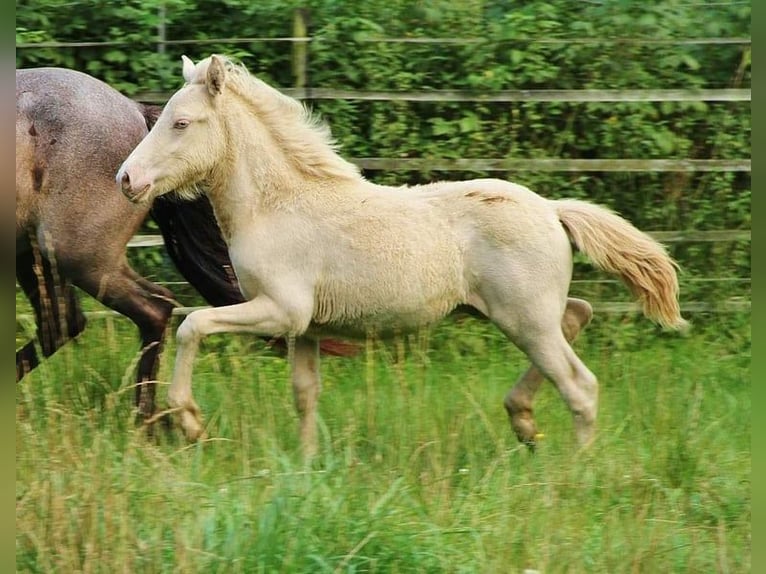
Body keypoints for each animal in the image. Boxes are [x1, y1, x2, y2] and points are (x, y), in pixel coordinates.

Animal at [15, 67, 356, 426]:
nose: (129, 178)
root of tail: (134, 109)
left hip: (78, 255)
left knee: (151, 308)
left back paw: (146, 423)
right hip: (38, 255)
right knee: (62, 323)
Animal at [120, 55, 688, 460]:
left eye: (181, 123)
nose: (127, 179)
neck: (279, 205)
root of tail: (551, 208)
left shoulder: (280, 310)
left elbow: (193, 323)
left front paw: (189, 419)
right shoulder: (306, 328)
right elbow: (305, 393)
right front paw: (305, 468)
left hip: (524, 319)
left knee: (579, 385)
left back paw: (575, 472)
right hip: (525, 315)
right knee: (577, 314)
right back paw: (523, 420)